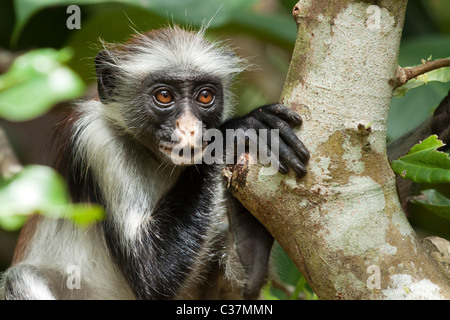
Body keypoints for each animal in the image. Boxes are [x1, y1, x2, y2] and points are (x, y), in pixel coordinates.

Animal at [0, 25, 310, 300]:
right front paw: (237, 130)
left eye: (205, 96)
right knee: (20, 278)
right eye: (164, 95)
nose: (189, 129)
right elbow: (152, 273)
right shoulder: (95, 137)